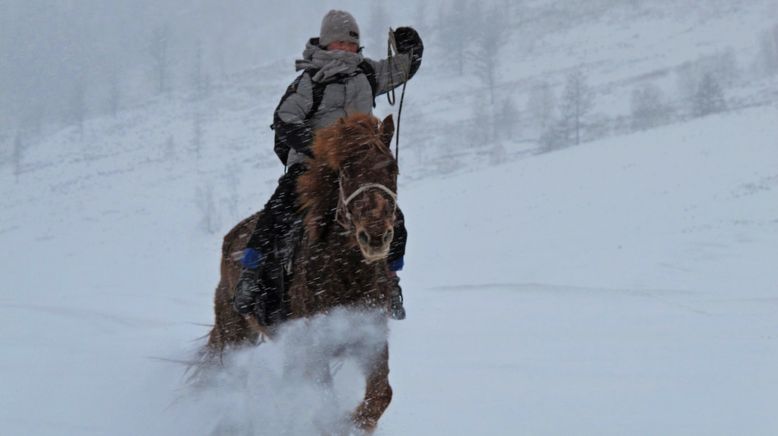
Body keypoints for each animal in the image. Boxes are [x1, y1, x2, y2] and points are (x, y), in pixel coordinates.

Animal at [205, 111, 398, 432]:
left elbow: (381, 395)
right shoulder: (314, 350)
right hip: (234, 335)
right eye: (346, 172)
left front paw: (354, 422)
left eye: (392, 168)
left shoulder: (370, 340)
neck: (346, 275)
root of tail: (229, 239)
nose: (375, 237)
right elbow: (326, 405)